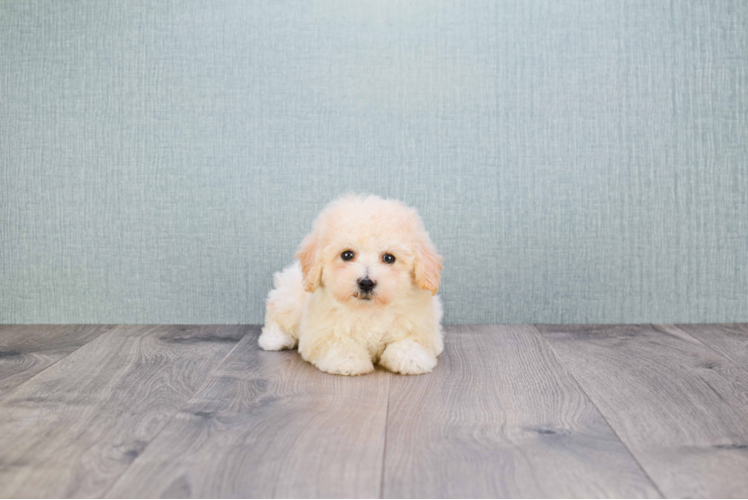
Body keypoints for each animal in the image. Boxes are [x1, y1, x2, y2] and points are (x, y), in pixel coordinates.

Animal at [258, 194, 444, 376]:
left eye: (389, 258)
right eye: (347, 255)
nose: (366, 282)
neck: (369, 310)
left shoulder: (423, 329)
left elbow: (411, 342)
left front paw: (411, 357)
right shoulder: (320, 333)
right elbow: (338, 343)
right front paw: (348, 360)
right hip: (290, 299)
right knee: (275, 316)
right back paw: (275, 339)